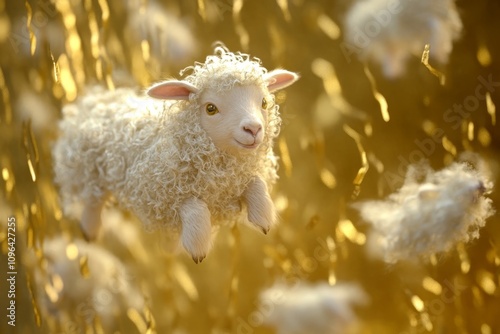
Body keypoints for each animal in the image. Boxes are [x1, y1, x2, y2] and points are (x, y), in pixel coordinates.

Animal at [52, 45, 298, 264]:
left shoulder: (236, 180)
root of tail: (96, 99)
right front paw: (198, 246)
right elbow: (193, 206)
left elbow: (256, 182)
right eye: (210, 108)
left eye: (264, 102)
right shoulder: (160, 192)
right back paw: (90, 232)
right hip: (88, 168)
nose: (253, 129)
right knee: (93, 200)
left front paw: (264, 217)